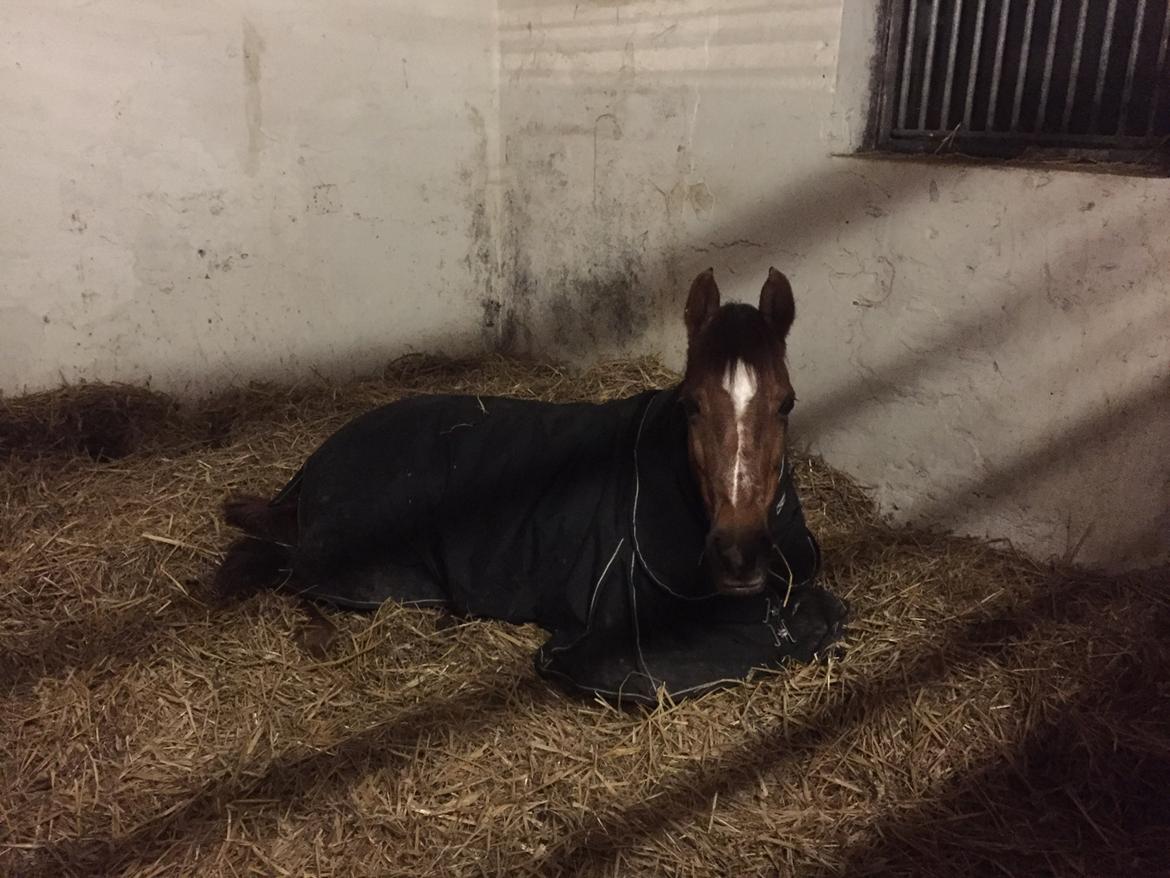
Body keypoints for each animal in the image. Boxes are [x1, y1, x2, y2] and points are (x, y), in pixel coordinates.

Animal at [215, 268, 847, 703]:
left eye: (786, 404)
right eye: (691, 405)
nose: (740, 555)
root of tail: (319, 461)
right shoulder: (619, 650)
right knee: (278, 565)